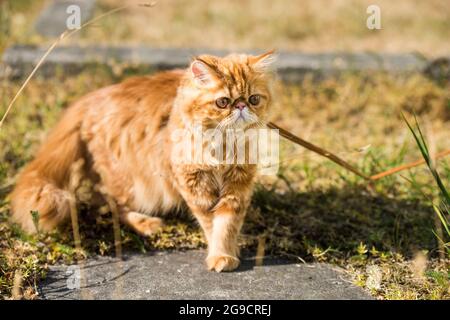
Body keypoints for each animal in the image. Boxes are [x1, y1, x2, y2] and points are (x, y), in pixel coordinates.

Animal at [10, 51, 276, 272]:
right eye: (223, 102)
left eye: (253, 99)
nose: (241, 106)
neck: (224, 147)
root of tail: (89, 99)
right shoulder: (194, 184)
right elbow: (212, 223)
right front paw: (219, 255)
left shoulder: (238, 185)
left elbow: (227, 223)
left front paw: (227, 252)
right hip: (129, 183)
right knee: (110, 204)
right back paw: (147, 223)